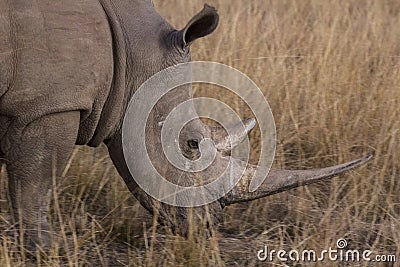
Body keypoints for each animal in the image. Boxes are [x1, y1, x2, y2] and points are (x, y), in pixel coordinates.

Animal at [0, 0, 372, 251]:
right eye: (192, 144)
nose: (207, 225)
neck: (131, 54)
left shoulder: (36, 105)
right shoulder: (48, 105)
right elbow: (36, 182)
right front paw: (48, 249)